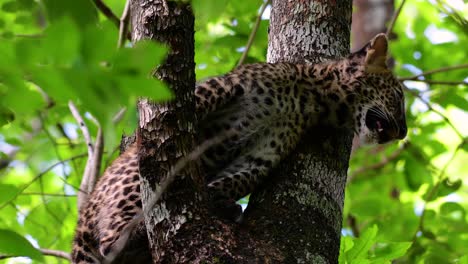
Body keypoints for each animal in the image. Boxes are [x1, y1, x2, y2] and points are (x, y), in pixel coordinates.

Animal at [70, 33, 406, 264]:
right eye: (400, 96)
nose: (402, 133)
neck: (313, 98)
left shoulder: (264, 151)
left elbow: (237, 179)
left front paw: (218, 200)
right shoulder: (221, 89)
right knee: (111, 240)